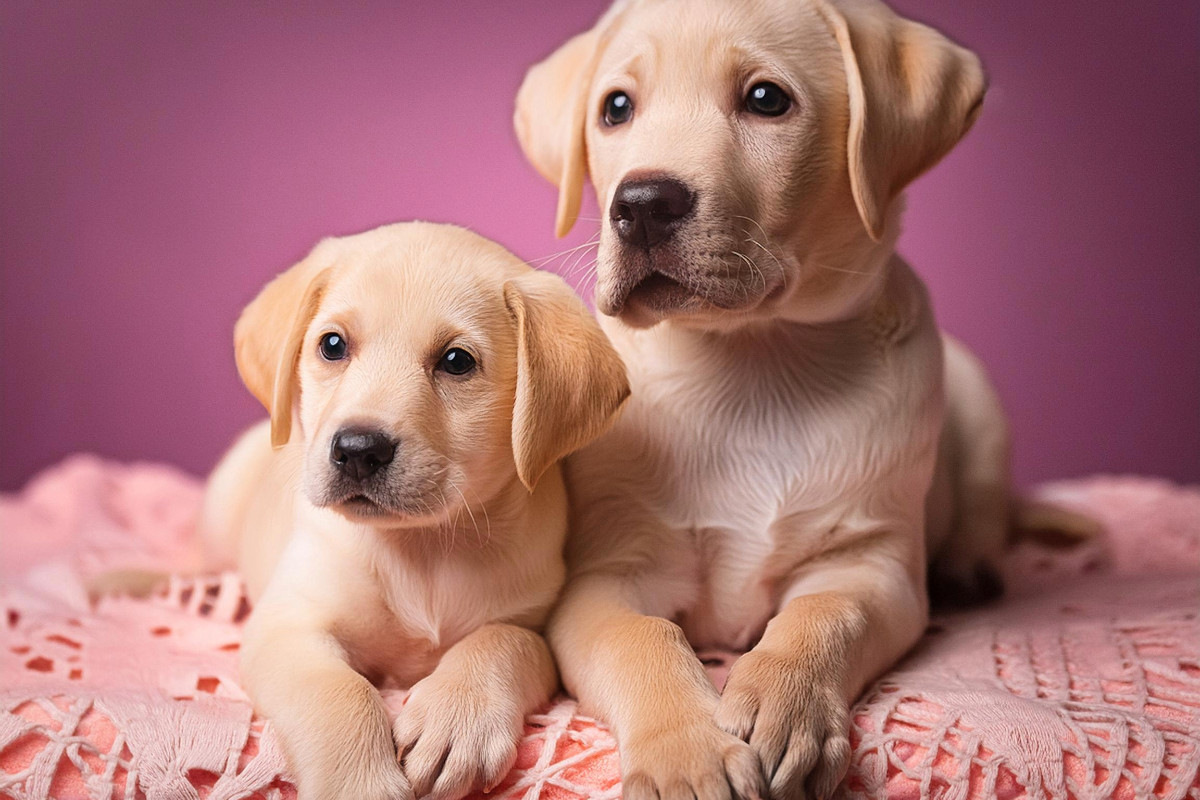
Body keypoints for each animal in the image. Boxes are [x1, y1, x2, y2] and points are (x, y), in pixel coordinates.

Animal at [199, 221, 628, 800]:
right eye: (332, 345)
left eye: (456, 361)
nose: (358, 449)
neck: (421, 546)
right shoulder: (287, 627)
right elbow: (341, 693)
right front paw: (357, 783)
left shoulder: (538, 627)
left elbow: (504, 638)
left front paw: (457, 720)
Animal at [516, 1, 1012, 800]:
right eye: (616, 108)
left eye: (766, 99)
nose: (642, 204)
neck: (752, 363)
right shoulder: (607, 576)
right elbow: (641, 639)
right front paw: (686, 754)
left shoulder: (870, 565)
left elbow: (822, 615)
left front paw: (786, 704)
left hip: (978, 399)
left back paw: (973, 566)